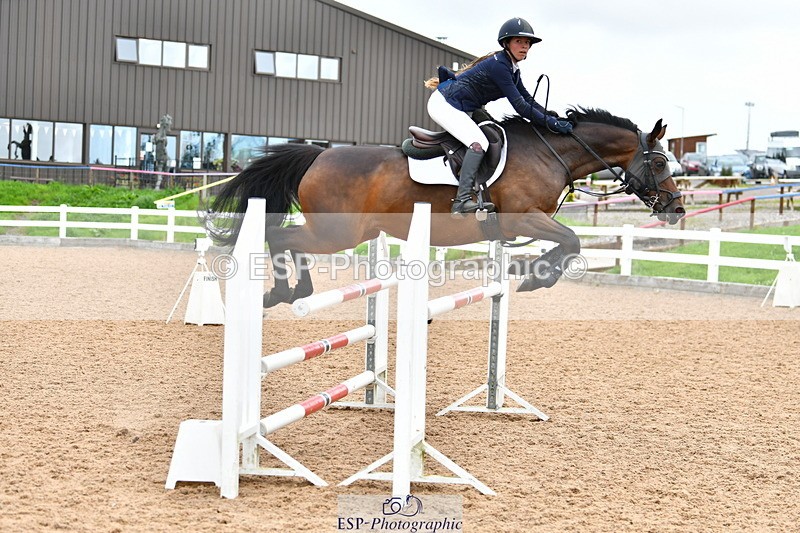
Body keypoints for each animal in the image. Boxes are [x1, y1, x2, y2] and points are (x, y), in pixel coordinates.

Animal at [207, 108, 685, 308]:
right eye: (661, 161)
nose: (677, 209)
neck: (549, 151)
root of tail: (317, 156)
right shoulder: (522, 216)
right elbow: (572, 241)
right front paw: (538, 277)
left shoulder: (521, 224)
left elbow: (567, 244)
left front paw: (532, 272)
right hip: (337, 232)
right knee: (277, 234)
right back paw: (284, 292)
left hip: (349, 232)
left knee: (285, 237)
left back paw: (296, 291)